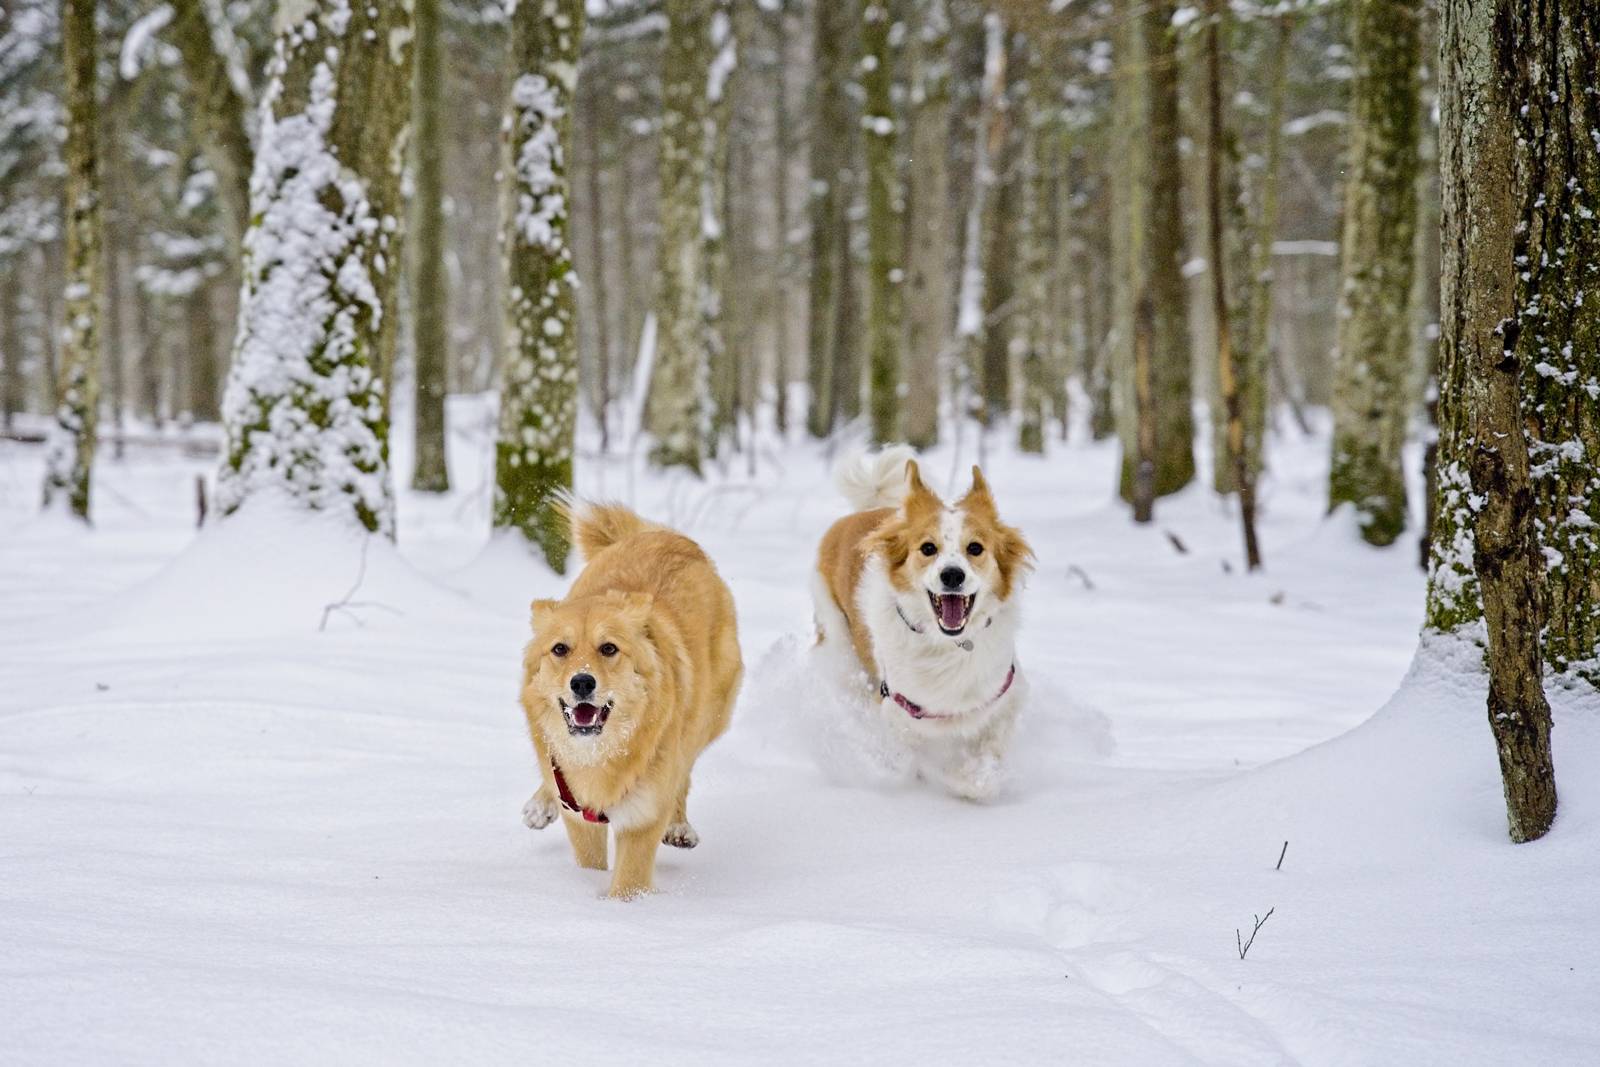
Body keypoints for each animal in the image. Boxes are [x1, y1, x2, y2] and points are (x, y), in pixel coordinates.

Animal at [518, 505, 742, 895]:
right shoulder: (582, 817)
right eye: (560, 649)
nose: (582, 682)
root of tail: (668, 536)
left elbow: (627, 886)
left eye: (609, 648)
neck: (601, 756)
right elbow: (589, 861)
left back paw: (678, 824)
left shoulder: (642, 818)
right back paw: (541, 804)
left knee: (684, 768)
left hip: (707, 717)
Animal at [819, 447, 1030, 796]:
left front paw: (975, 778)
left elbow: (990, 752)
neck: (948, 644)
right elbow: (909, 761)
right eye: (928, 548)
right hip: (837, 640)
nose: (952, 575)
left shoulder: (1005, 696)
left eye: (975, 548)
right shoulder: (897, 710)